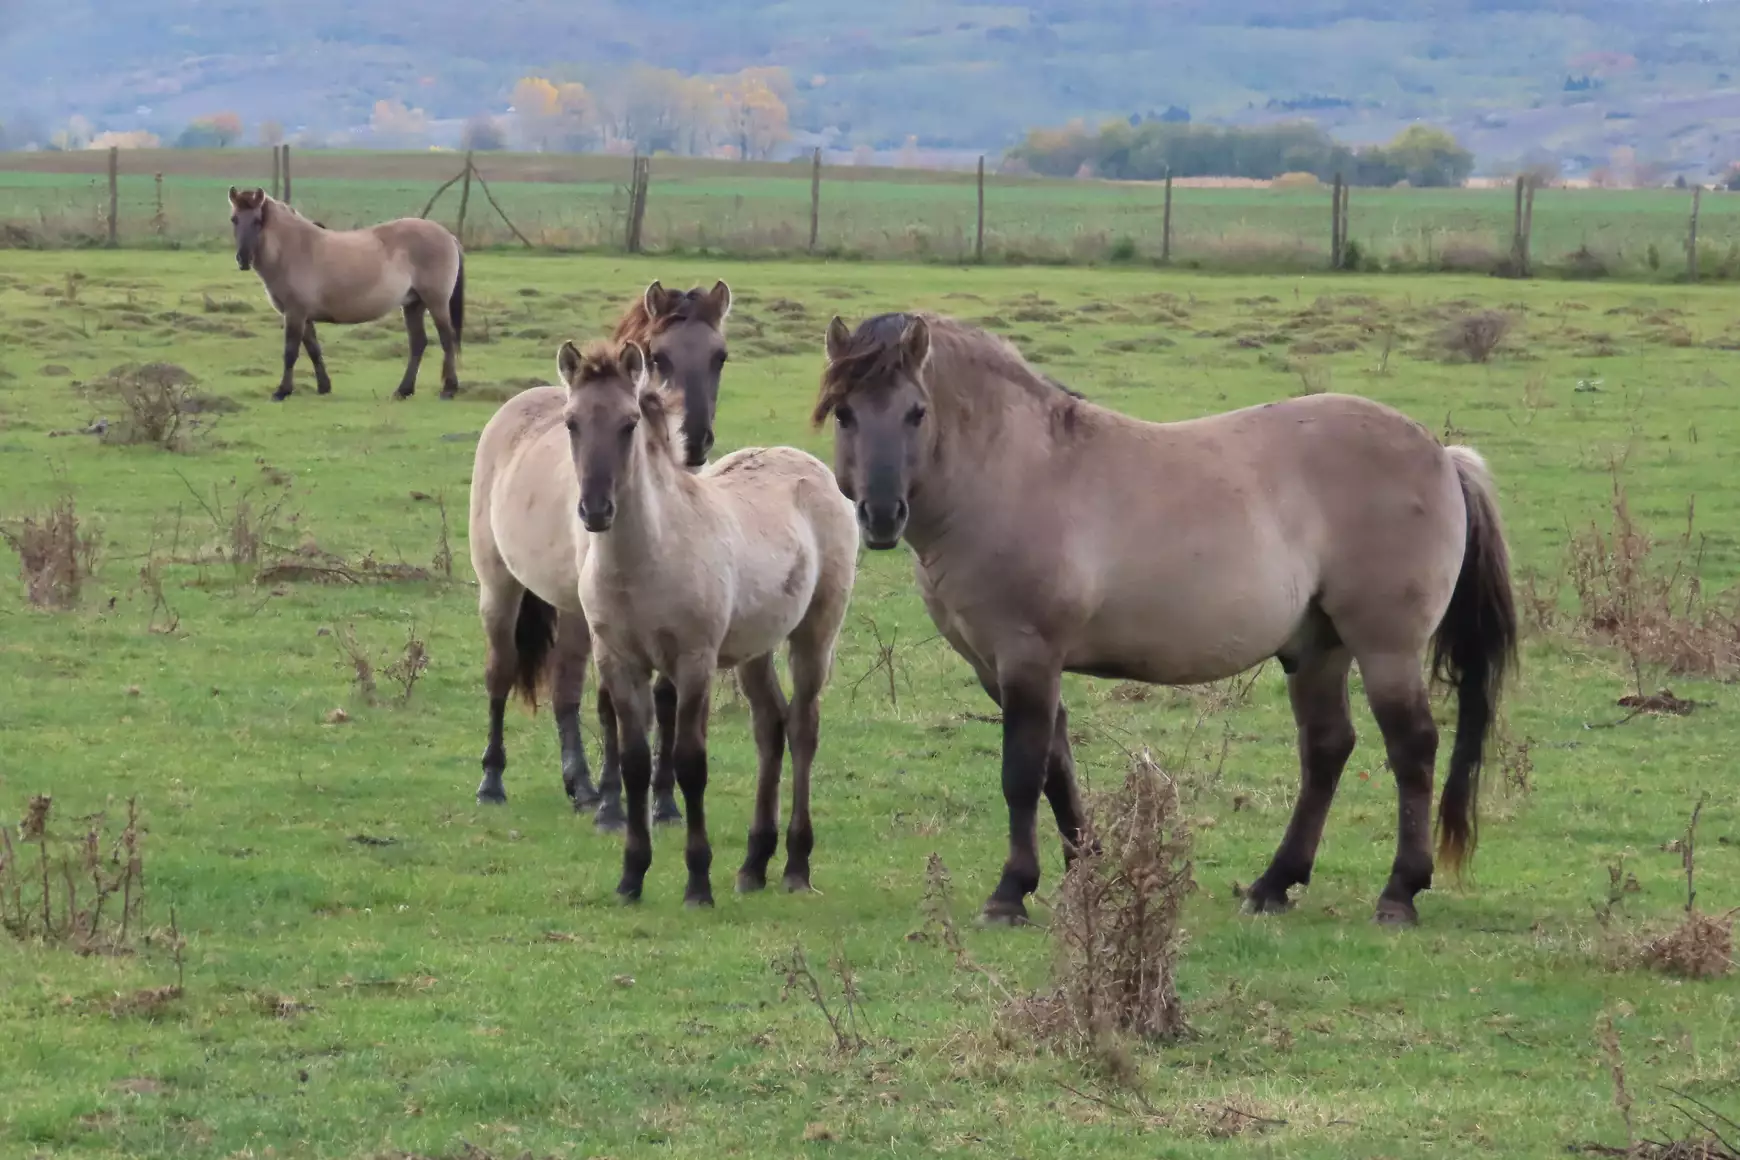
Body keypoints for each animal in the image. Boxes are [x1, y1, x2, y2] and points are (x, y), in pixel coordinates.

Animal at [226, 186, 464, 402]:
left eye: (258, 221)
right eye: (234, 219)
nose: (243, 259)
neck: (293, 249)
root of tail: (448, 236)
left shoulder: (295, 313)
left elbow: (290, 352)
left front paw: (282, 391)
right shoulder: (304, 316)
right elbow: (313, 349)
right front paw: (323, 387)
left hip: (436, 302)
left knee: (447, 339)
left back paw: (448, 389)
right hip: (413, 304)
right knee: (418, 343)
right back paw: (403, 391)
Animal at [467, 281, 734, 831]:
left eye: (718, 357)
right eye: (659, 356)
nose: (693, 441)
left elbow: (663, 701)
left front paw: (664, 803)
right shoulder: (611, 625)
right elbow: (612, 704)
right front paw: (616, 807)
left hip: (569, 608)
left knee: (565, 688)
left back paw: (580, 786)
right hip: (500, 587)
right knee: (501, 671)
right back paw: (493, 783)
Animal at [560, 338, 858, 907]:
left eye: (629, 423)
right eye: (571, 422)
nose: (595, 510)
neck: (644, 560)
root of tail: (807, 462)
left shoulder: (692, 661)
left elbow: (690, 762)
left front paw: (697, 881)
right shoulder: (619, 662)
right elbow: (634, 762)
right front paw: (631, 877)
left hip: (814, 634)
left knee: (803, 728)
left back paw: (795, 865)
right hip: (754, 648)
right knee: (771, 727)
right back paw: (753, 864)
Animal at [813, 311, 1517, 927]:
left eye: (916, 412)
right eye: (846, 413)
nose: (881, 515)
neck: (1015, 470)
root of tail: (1442, 455)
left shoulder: (1027, 655)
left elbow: (1022, 772)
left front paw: (1011, 893)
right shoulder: (997, 665)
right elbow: (1057, 766)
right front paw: (1086, 869)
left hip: (1385, 648)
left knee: (1412, 748)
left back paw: (1399, 892)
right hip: (1318, 649)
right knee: (1327, 749)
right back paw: (1273, 884)